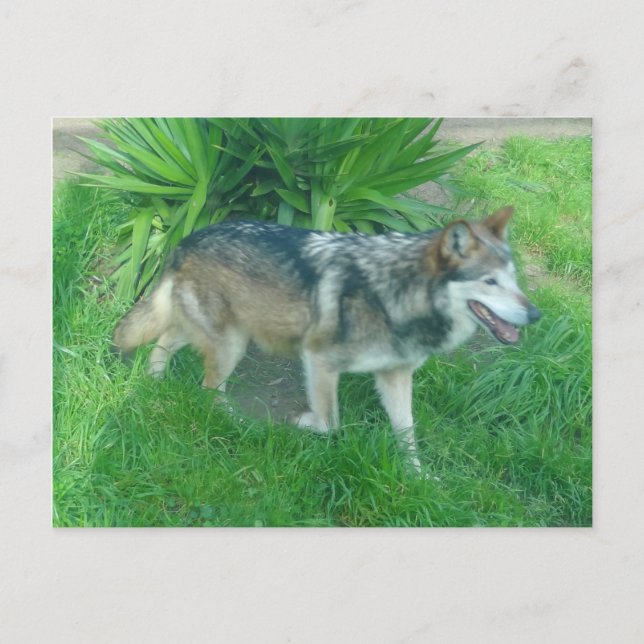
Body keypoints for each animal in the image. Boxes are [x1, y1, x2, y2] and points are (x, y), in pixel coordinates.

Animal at [113, 206, 540, 472]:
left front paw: (420, 478)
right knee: (207, 388)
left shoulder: (395, 376)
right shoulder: (318, 359)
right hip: (231, 345)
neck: (396, 294)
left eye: (515, 280)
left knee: (164, 341)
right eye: (490, 282)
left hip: (221, 334)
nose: (536, 314)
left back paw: (155, 383)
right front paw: (301, 424)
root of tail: (186, 240)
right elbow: (329, 423)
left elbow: (408, 435)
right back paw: (233, 421)